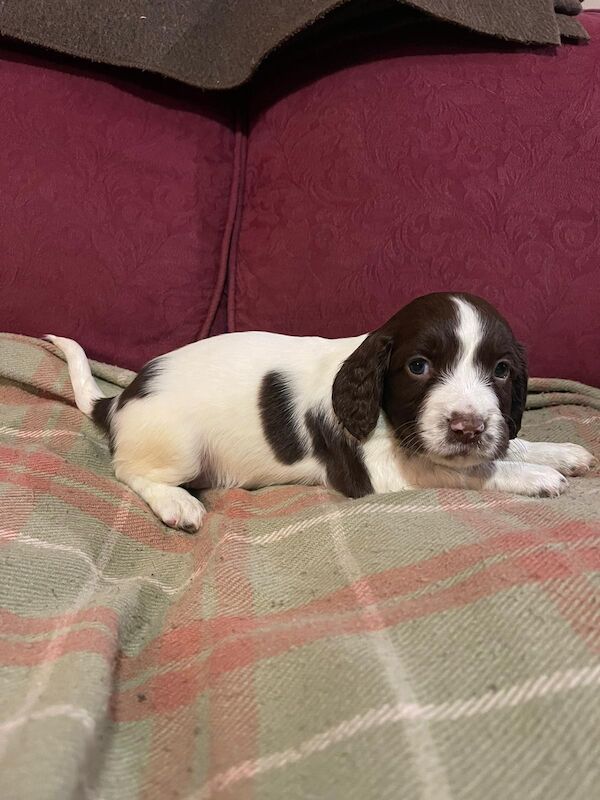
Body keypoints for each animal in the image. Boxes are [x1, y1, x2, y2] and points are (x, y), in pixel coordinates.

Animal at [47, 292, 596, 532]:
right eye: (418, 366)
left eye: (501, 371)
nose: (468, 427)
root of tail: (118, 399)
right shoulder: (381, 472)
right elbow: (470, 470)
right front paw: (535, 476)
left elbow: (504, 446)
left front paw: (559, 453)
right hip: (179, 446)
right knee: (127, 471)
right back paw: (177, 504)